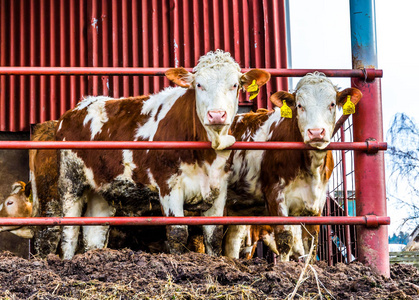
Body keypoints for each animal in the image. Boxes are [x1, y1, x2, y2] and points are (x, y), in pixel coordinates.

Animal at [55, 50, 270, 258]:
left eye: (235, 85)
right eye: (199, 85)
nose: (216, 115)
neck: (205, 154)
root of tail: (78, 108)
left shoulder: (219, 188)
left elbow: (213, 235)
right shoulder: (168, 184)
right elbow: (177, 232)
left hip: (102, 189)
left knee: (94, 232)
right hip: (70, 181)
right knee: (69, 231)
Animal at [225, 73, 362, 262]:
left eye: (332, 104)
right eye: (299, 105)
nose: (316, 132)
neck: (311, 168)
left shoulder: (317, 201)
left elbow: (311, 243)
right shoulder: (275, 194)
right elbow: (285, 239)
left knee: (233, 239)